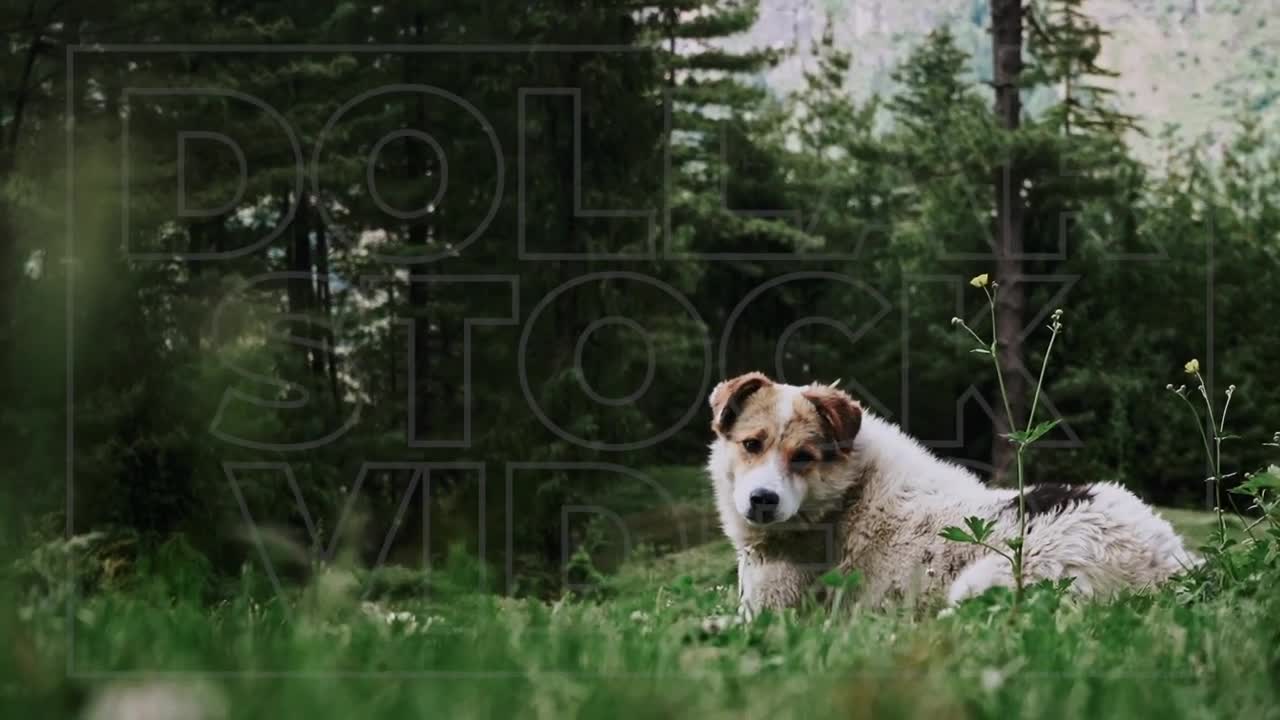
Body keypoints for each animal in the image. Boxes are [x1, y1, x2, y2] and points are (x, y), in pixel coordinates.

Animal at [706, 368, 1192, 609]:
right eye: (752, 445)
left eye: (803, 456)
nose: (762, 501)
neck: (847, 498)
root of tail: (1162, 563)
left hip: (984, 587)